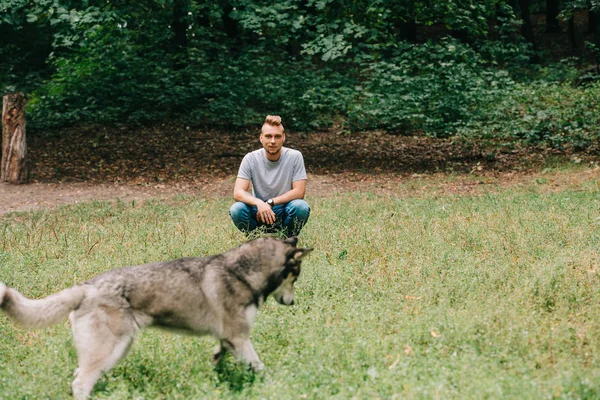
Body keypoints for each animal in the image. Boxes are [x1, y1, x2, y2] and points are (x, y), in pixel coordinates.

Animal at [0, 236, 312, 398]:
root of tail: (86, 287)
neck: (242, 272)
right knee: (80, 383)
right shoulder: (240, 337)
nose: (292, 302)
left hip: (115, 351)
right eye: (296, 276)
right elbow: (260, 369)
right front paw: (278, 388)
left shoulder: (229, 339)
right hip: (109, 350)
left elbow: (219, 359)